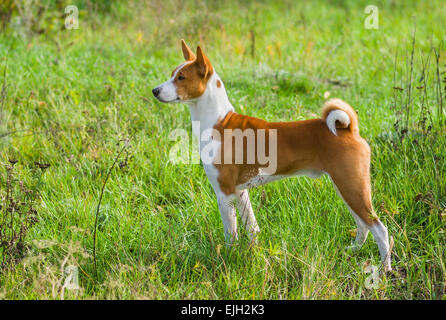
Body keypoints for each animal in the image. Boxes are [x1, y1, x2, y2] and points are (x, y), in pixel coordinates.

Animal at [152, 38, 392, 272]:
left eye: (181, 77)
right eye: (172, 73)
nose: (155, 90)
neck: (218, 122)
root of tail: (348, 129)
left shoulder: (224, 193)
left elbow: (231, 235)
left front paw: (227, 259)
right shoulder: (240, 192)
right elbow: (252, 229)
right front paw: (253, 255)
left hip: (351, 187)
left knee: (380, 229)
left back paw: (384, 268)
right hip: (347, 187)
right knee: (363, 225)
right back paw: (353, 250)